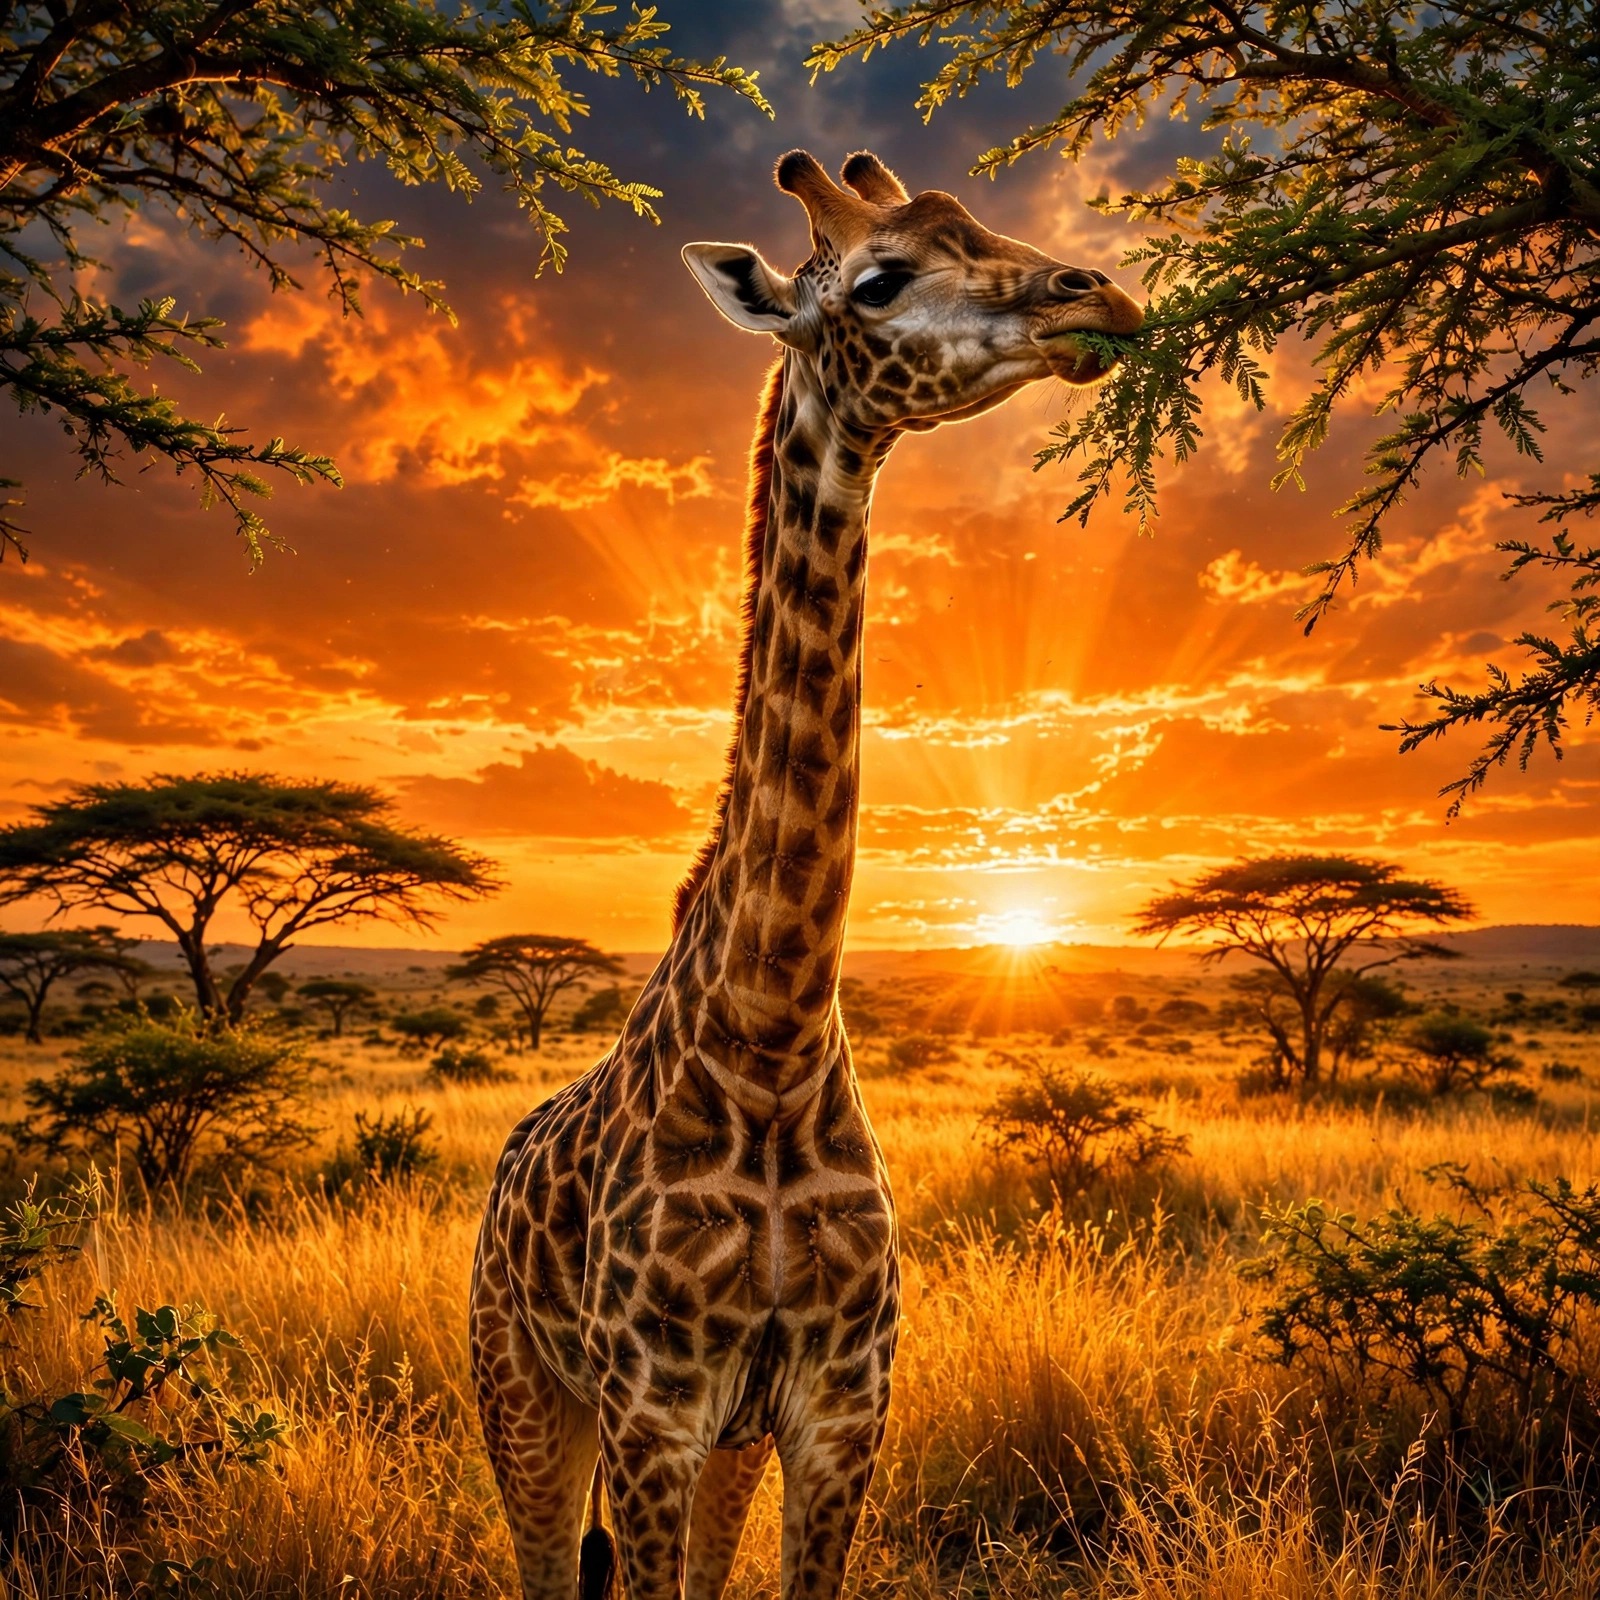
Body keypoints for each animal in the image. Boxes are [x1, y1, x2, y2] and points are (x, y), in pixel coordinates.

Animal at [471, 148, 1144, 1600]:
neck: (771, 1036)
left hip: (716, 1445)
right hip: (524, 1392)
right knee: (544, 1561)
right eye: (879, 279)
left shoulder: (839, 1401)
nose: (1101, 295)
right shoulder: (654, 1403)